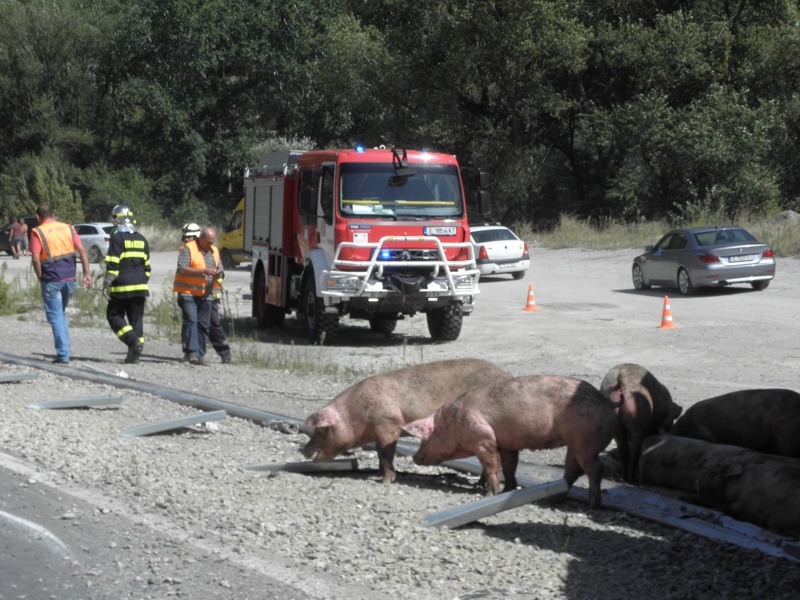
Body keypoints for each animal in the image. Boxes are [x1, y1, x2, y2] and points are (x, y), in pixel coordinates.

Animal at [304, 360, 510, 482]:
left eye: (321, 430)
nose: (302, 450)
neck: (357, 415)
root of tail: (505, 375)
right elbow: (380, 453)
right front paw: (378, 473)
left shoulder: (388, 426)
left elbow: (385, 453)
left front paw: (385, 480)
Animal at [406, 376, 620, 506]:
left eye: (424, 440)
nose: (414, 457)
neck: (451, 423)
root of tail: (606, 401)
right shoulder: (507, 444)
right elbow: (509, 466)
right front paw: (508, 489)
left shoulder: (483, 439)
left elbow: (492, 467)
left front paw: (488, 495)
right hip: (576, 443)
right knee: (573, 470)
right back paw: (553, 498)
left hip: (585, 442)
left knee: (594, 470)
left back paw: (593, 504)